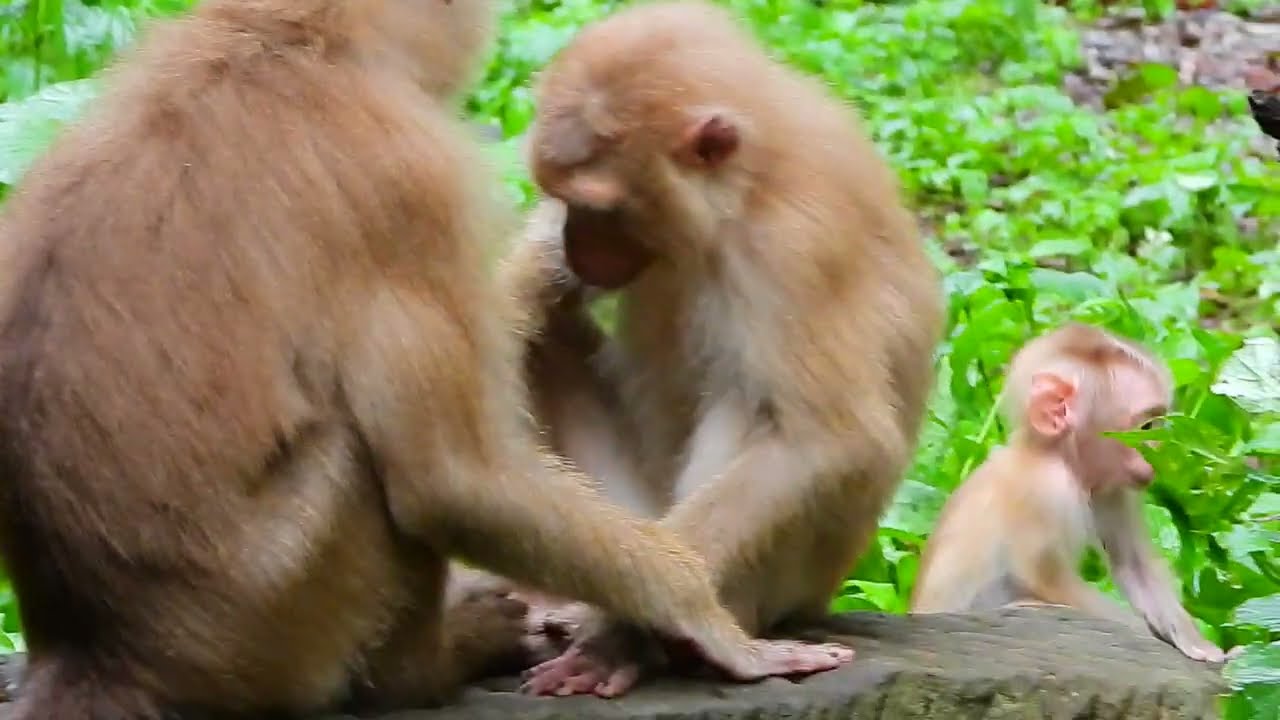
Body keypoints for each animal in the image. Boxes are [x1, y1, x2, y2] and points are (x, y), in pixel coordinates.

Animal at [0, 1, 855, 718]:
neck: (280, 39)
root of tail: (97, 654)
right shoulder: (413, 179)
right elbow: (453, 482)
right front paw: (702, 616)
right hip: (265, 626)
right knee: (361, 462)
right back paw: (430, 668)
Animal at [506, 0, 946, 697]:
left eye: (598, 208)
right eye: (559, 197)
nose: (574, 243)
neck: (749, 180)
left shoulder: (795, 246)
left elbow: (828, 439)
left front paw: (615, 636)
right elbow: (517, 294)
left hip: (778, 588)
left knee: (752, 402)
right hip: (636, 510)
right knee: (550, 324)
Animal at [909, 323, 1228, 664]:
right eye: (1147, 427)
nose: (1158, 455)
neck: (1052, 454)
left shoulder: (1112, 490)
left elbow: (1132, 564)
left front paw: (1198, 644)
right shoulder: (1047, 490)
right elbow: (1046, 578)